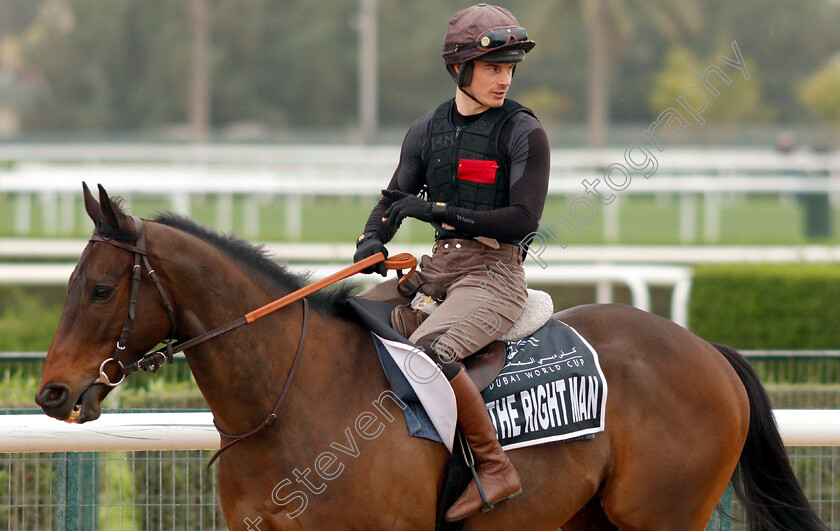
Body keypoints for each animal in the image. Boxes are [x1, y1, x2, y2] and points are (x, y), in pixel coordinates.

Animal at [36, 184, 824, 531]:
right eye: (68, 283)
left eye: (100, 288)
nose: (51, 393)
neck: (290, 399)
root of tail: (708, 350)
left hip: (661, 515)